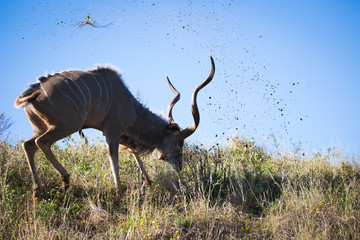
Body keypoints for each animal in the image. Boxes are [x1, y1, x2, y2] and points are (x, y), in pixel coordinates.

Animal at [14, 54, 214, 197]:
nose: (179, 166)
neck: (132, 108)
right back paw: (65, 180)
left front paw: (148, 181)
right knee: (42, 142)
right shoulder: (112, 130)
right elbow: (114, 158)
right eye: (179, 144)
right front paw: (119, 192)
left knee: (28, 145)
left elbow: (134, 153)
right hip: (67, 125)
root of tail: (34, 91)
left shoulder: (122, 134)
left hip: (41, 127)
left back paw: (37, 190)